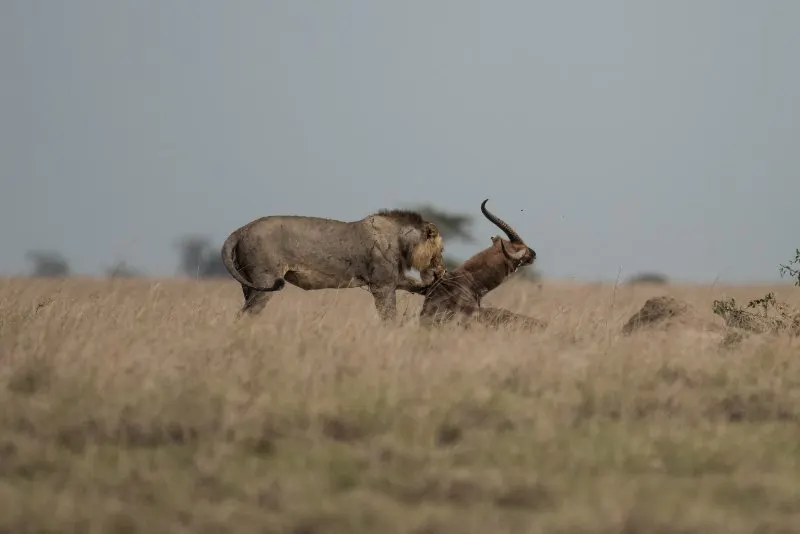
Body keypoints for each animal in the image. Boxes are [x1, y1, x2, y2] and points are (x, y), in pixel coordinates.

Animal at [220, 207, 444, 320]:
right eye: (440, 251)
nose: (442, 271)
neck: (402, 242)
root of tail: (240, 231)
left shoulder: (393, 279)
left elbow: (416, 287)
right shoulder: (382, 284)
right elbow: (389, 315)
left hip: (248, 283)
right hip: (264, 282)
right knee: (245, 314)